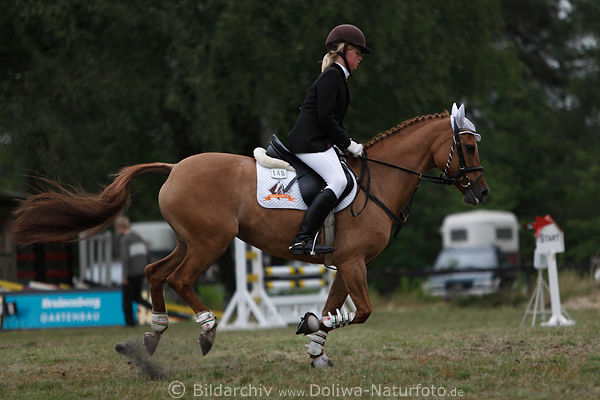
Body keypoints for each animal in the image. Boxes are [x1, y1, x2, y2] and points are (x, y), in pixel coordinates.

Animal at [11, 104, 488, 368]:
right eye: (467, 147)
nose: (482, 193)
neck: (379, 181)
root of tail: (176, 167)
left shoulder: (343, 264)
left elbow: (334, 309)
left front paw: (316, 350)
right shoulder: (353, 263)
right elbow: (361, 312)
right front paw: (310, 327)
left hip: (189, 241)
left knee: (154, 272)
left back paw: (153, 335)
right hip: (211, 242)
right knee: (179, 279)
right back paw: (206, 330)